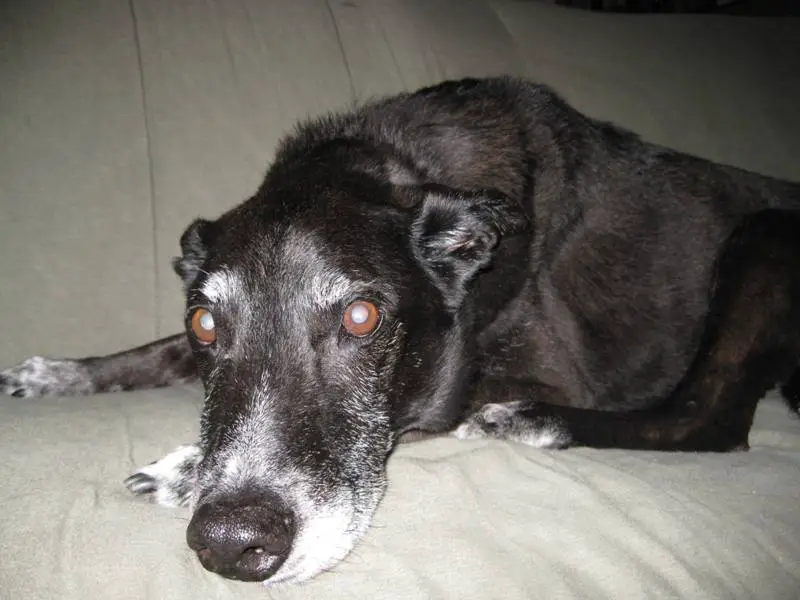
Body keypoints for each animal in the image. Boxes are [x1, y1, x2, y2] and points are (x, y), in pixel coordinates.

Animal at [1, 77, 800, 584]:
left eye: (361, 317)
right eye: (204, 322)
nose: (230, 545)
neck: (391, 161)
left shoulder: (519, 371)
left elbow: (420, 412)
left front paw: (185, 467)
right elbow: (153, 351)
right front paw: (59, 373)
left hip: (766, 233)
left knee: (709, 416)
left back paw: (532, 421)